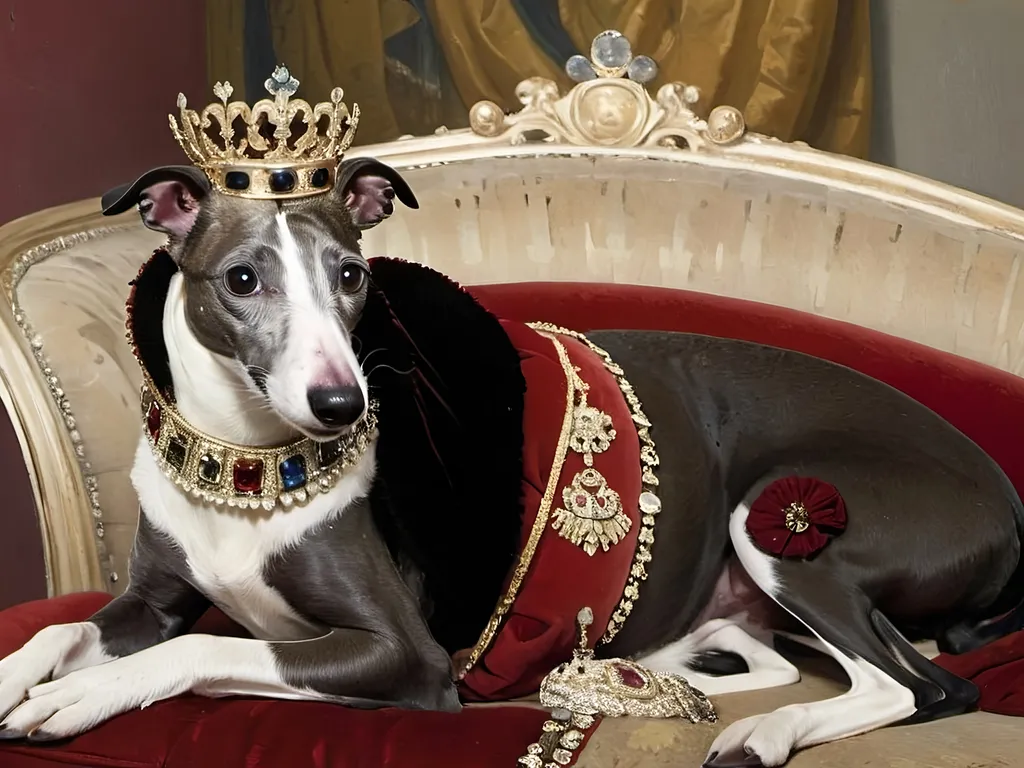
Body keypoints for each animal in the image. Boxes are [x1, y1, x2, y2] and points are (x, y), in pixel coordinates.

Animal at [0, 157, 1019, 768]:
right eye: (242, 279)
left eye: (352, 276)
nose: (342, 406)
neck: (248, 463)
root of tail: (1008, 506)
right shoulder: (153, 598)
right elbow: (65, 628)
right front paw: (28, 676)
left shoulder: (405, 654)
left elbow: (213, 646)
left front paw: (79, 697)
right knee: (786, 656)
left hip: (786, 522)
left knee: (923, 685)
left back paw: (769, 731)